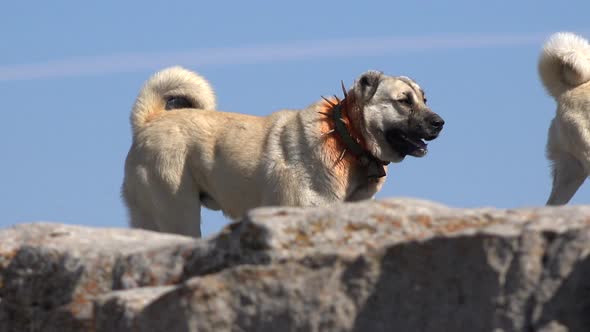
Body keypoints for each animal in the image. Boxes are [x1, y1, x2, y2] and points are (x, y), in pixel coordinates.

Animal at [123, 67, 444, 236]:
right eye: (404, 101)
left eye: (424, 99)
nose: (440, 122)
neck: (346, 136)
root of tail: (149, 120)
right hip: (178, 213)